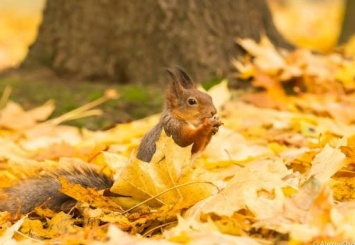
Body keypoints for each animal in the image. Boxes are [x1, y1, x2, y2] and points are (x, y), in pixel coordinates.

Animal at [0, 67, 222, 214]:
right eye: (191, 102)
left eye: (209, 95)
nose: (213, 111)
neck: (180, 118)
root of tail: (117, 194)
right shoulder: (171, 132)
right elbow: (188, 141)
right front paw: (206, 127)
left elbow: (198, 148)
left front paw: (214, 127)